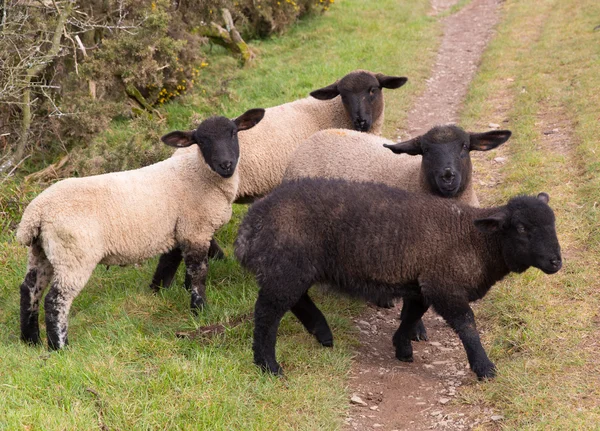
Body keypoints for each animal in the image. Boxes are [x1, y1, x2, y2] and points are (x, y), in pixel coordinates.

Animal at [15, 108, 264, 352]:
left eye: (233, 133)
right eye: (201, 141)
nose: (226, 164)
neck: (200, 174)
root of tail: (37, 212)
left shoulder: (177, 231)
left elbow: (168, 265)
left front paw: (158, 291)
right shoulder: (196, 229)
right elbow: (198, 274)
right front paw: (199, 311)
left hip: (42, 251)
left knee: (29, 290)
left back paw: (31, 341)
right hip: (74, 254)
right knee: (56, 300)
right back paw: (60, 347)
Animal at [236, 179, 564, 382]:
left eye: (553, 223)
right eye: (521, 228)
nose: (556, 262)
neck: (476, 240)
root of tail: (251, 223)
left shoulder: (422, 282)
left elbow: (411, 315)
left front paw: (401, 347)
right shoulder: (443, 284)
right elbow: (467, 325)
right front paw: (484, 368)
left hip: (292, 268)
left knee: (295, 300)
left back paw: (322, 333)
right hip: (286, 266)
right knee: (267, 314)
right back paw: (268, 365)